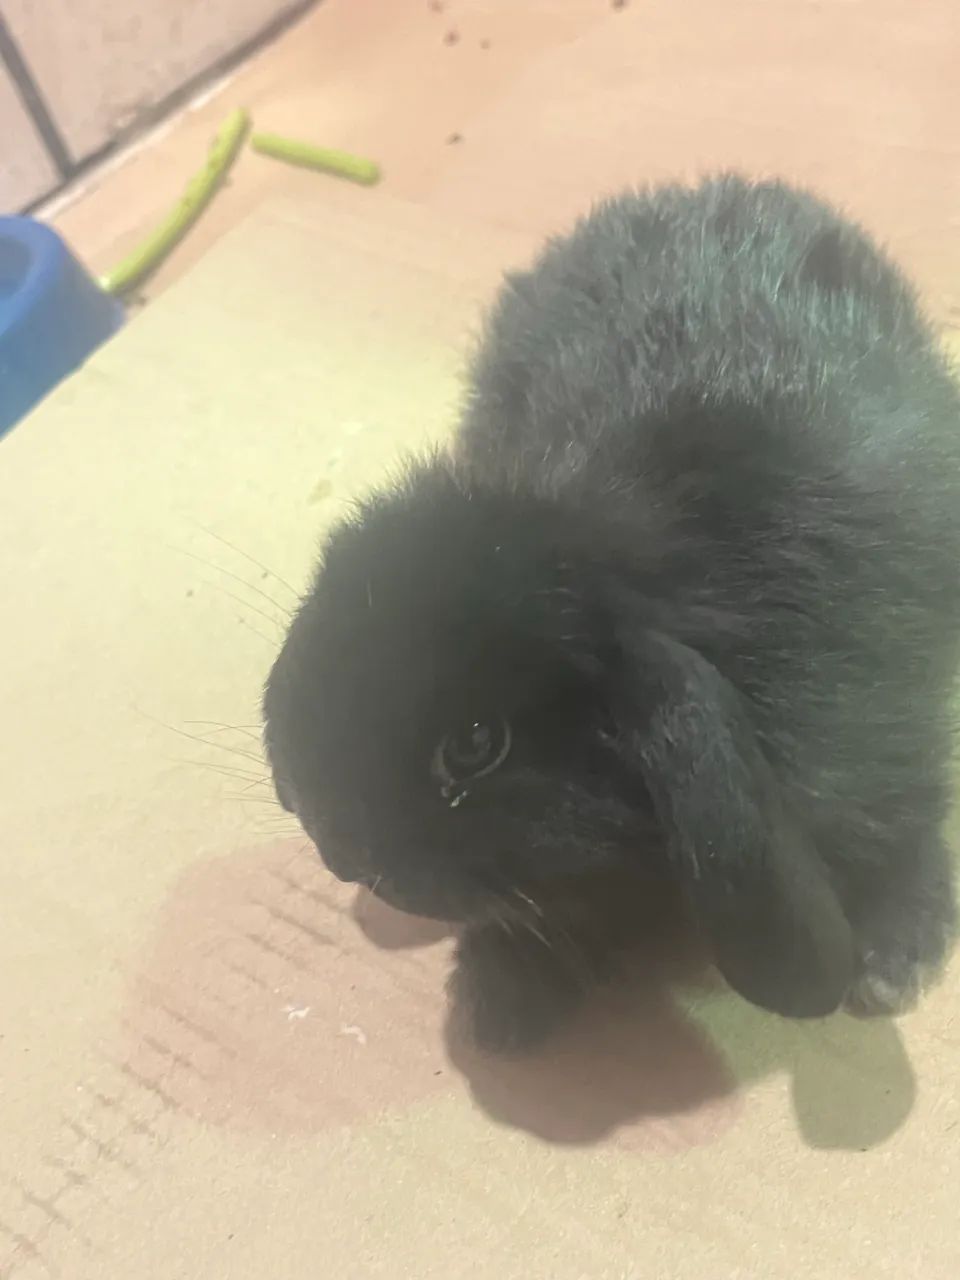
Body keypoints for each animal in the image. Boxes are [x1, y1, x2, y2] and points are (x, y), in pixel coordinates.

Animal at [263, 174, 960, 1053]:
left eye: (477, 744)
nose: (340, 852)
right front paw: (505, 993)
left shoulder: (882, 736)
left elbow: (906, 823)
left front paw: (896, 954)